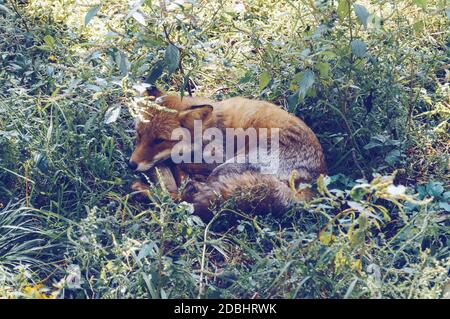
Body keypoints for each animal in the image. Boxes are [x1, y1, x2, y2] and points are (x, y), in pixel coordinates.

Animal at [128, 87, 326, 222]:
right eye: (139, 135)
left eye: (159, 140)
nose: (131, 164)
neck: (207, 130)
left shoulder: (216, 161)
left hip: (231, 164)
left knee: (184, 198)